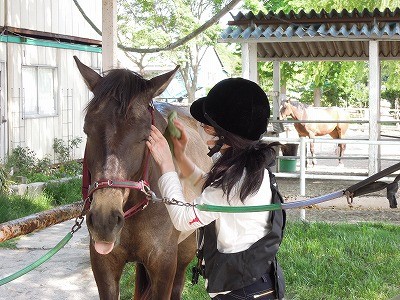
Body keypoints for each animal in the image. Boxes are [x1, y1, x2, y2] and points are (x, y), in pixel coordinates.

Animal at [75, 56, 212, 300]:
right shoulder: (104, 265)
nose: (104, 220)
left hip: (185, 250)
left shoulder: (164, 264)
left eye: (145, 136)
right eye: (87, 131)